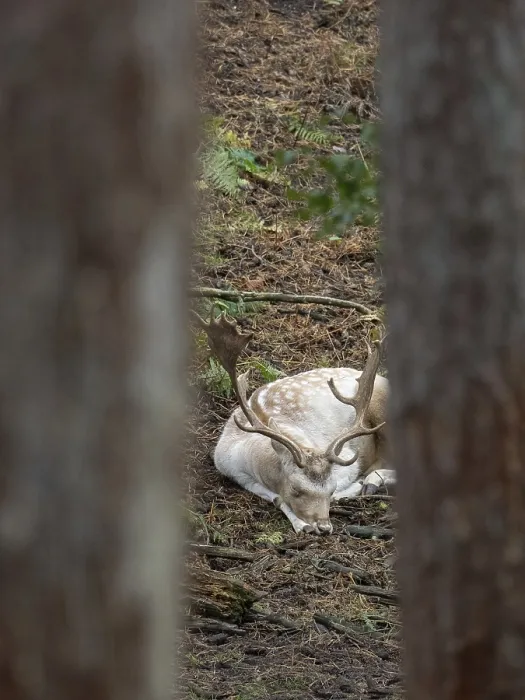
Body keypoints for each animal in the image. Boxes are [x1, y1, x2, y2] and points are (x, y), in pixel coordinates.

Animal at [197, 312, 395, 535]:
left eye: (331, 489)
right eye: (296, 489)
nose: (323, 526)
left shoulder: (348, 460)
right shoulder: (234, 471)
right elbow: (277, 498)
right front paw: (302, 524)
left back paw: (370, 482)